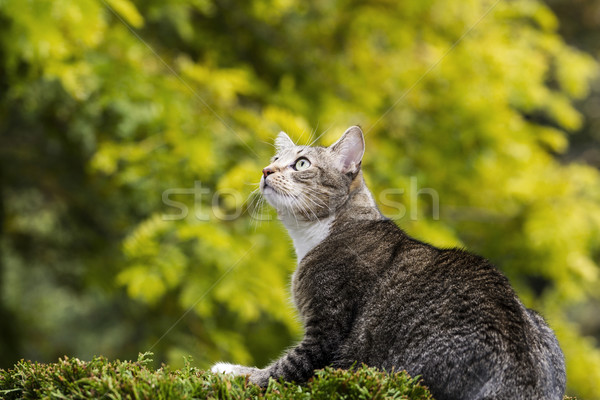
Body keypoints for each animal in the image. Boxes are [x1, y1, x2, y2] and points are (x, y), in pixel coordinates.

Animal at [211, 126, 568, 400]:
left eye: (301, 163)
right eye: (274, 160)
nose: (266, 171)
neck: (319, 234)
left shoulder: (326, 333)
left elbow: (278, 371)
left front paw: (230, 371)